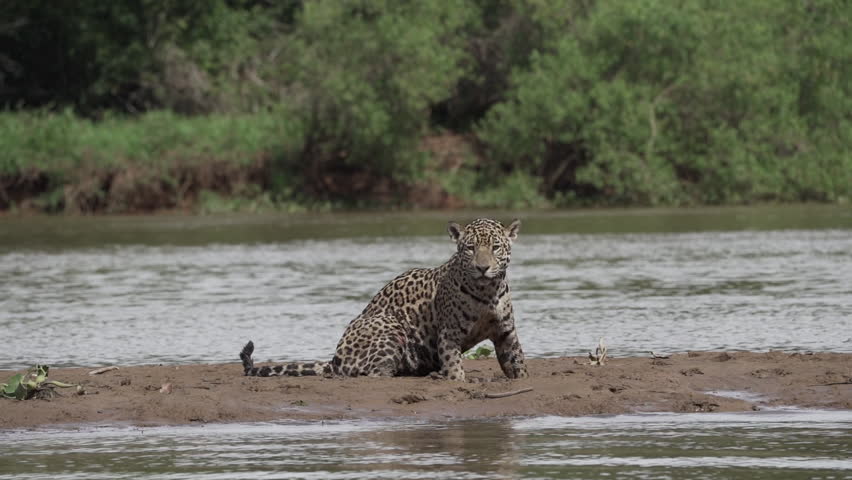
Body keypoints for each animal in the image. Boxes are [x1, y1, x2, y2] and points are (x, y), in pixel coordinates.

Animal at [239, 218, 528, 382]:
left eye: (495, 247)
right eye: (470, 248)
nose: (483, 267)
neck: (486, 291)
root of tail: (335, 360)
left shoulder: (506, 331)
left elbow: (517, 361)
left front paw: (521, 376)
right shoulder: (449, 334)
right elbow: (454, 364)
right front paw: (455, 378)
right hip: (388, 323)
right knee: (374, 373)